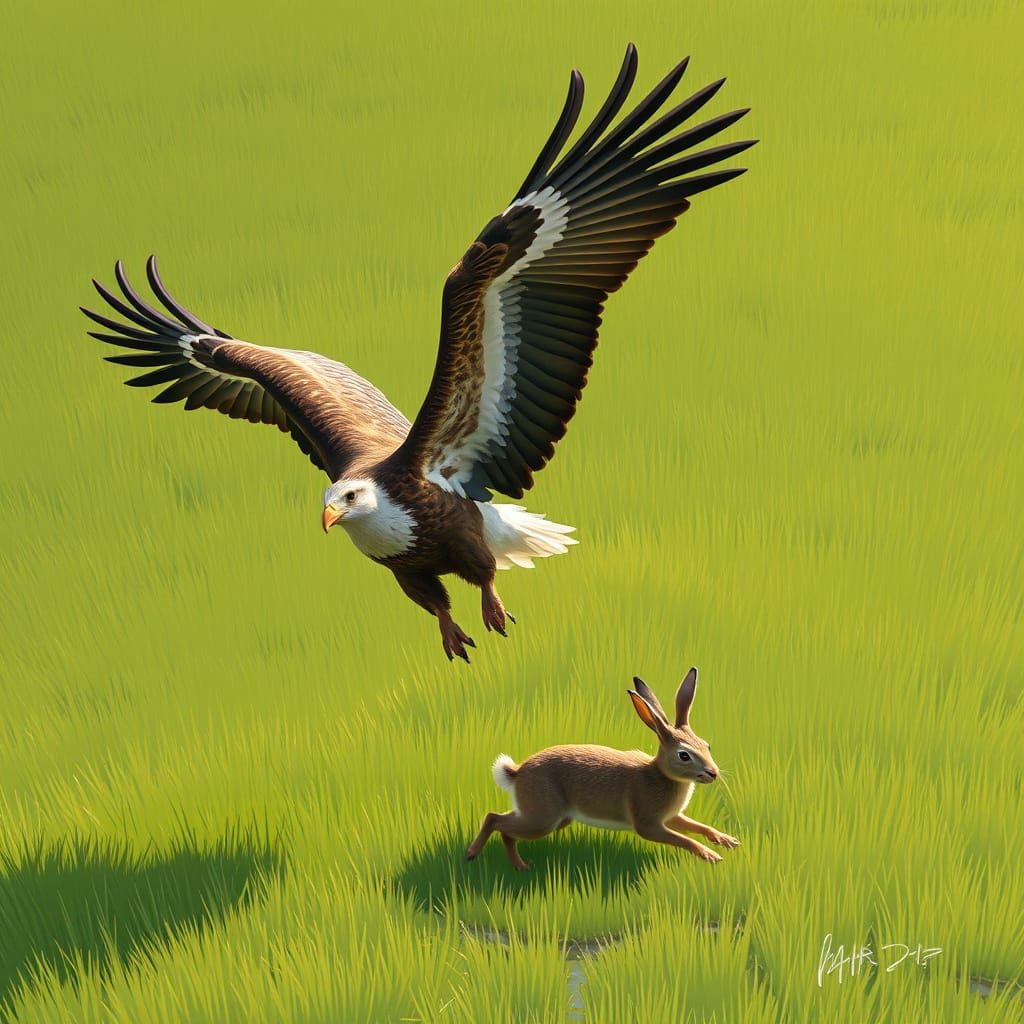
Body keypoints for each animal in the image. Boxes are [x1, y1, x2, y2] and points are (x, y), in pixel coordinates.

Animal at [465, 667, 739, 871]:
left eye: (707, 745)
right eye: (684, 755)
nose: (713, 773)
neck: (661, 773)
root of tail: (517, 772)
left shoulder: (671, 817)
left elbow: (698, 826)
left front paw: (727, 841)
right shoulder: (648, 823)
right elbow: (683, 839)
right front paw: (711, 856)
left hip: (552, 818)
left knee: (504, 826)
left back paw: (519, 866)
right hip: (542, 818)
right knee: (495, 820)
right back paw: (475, 855)